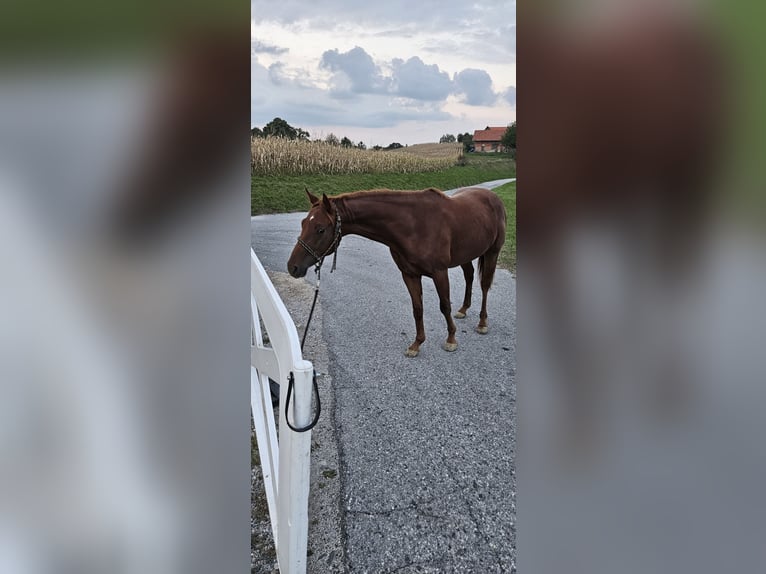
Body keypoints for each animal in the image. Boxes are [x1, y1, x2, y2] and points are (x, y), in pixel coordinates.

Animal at [284, 187, 508, 358]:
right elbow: (417, 309)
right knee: (469, 276)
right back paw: (463, 309)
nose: (292, 267)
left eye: (320, 229)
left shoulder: (439, 272)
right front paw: (416, 344)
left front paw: (451, 339)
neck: (414, 225)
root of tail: (493, 197)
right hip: (466, 255)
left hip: (492, 252)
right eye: (303, 223)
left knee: (485, 285)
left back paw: (482, 322)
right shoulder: (409, 274)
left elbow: (444, 305)